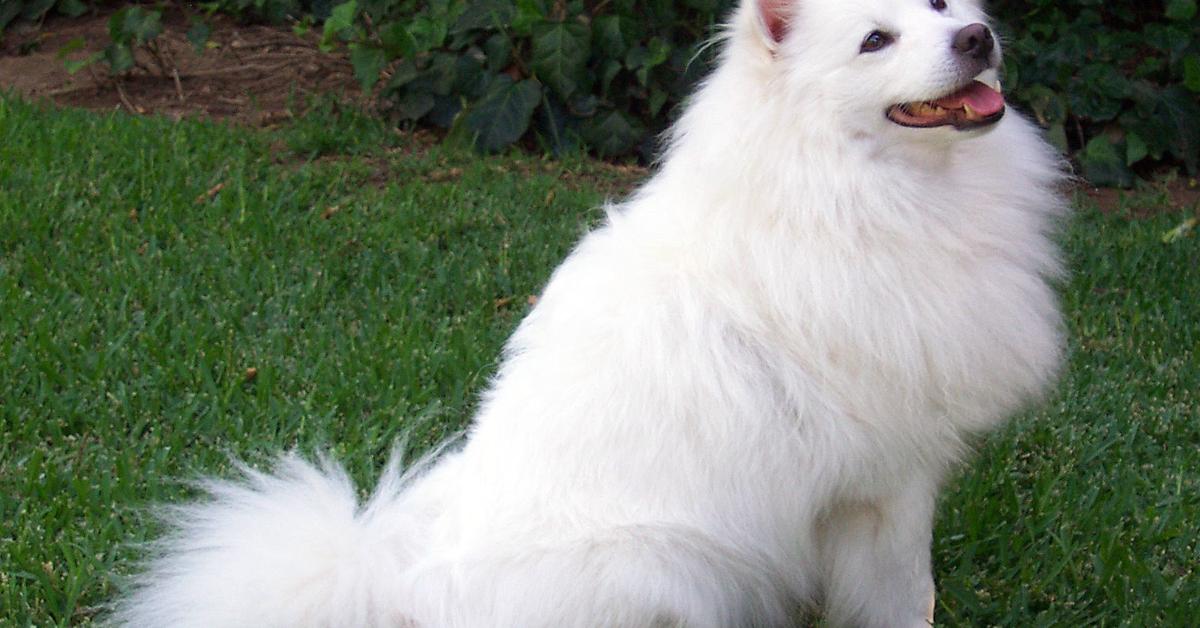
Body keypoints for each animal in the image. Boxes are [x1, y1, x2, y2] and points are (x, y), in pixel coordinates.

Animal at [117, 1, 1065, 624]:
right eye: (875, 40)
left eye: (939, 5)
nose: (977, 37)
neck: (845, 189)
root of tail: (405, 586)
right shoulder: (889, 486)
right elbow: (911, 596)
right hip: (662, 569)